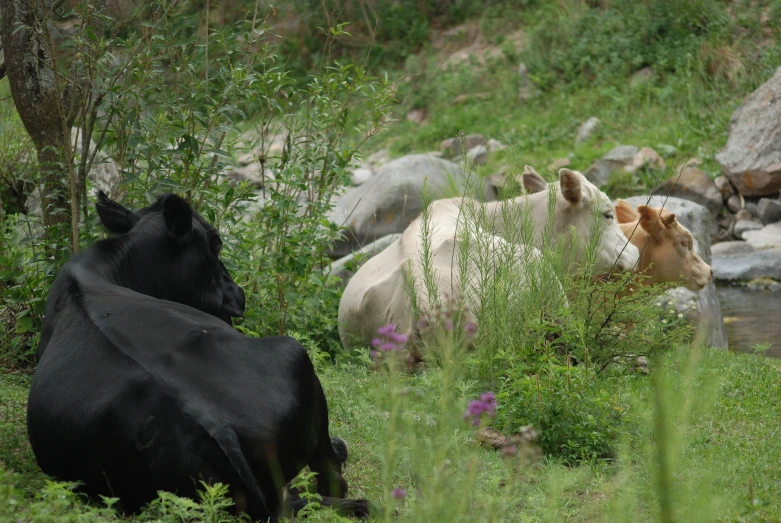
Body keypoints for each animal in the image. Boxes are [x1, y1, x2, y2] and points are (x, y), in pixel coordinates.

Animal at [29, 193, 370, 523]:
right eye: (215, 243)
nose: (237, 292)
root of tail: (210, 420)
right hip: (297, 356)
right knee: (331, 479)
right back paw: (339, 451)